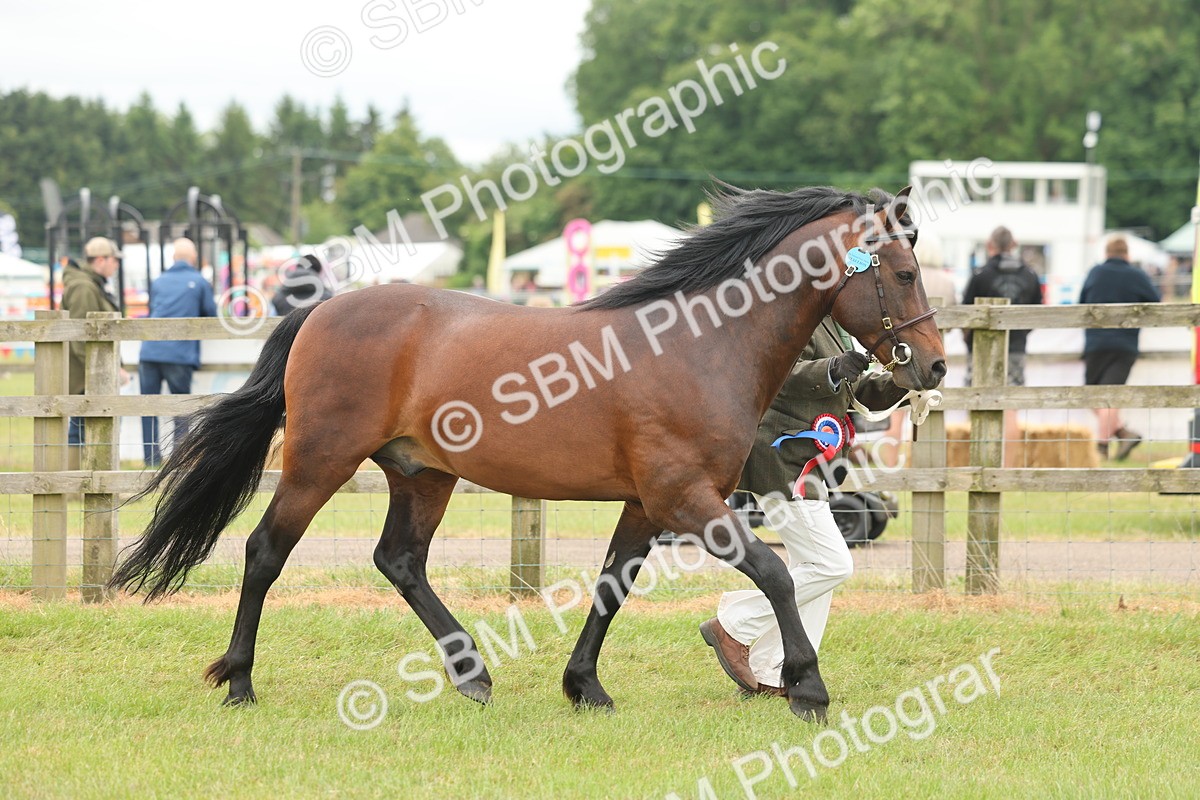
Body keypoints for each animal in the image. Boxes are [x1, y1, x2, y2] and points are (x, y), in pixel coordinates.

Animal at [110, 184, 946, 721]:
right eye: (904, 273)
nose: (933, 368)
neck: (700, 346)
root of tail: (321, 311)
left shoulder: (649, 503)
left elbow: (612, 586)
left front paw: (585, 688)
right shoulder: (686, 498)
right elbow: (774, 573)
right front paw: (807, 686)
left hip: (423, 474)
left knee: (400, 561)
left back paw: (472, 674)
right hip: (321, 462)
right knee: (264, 552)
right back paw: (240, 682)